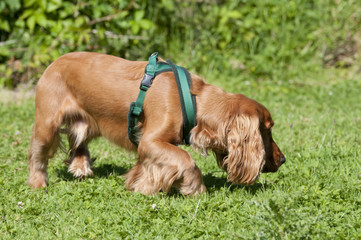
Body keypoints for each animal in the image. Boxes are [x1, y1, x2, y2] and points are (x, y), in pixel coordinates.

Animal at [28, 52, 286, 195]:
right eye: (267, 130)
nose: (283, 159)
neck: (194, 100)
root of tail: (53, 62)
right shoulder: (150, 142)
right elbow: (187, 159)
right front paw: (196, 189)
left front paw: (140, 185)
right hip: (47, 124)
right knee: (37, 155)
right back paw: (38, 183)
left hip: (90, 121)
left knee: (79, 140)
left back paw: (81, 166)